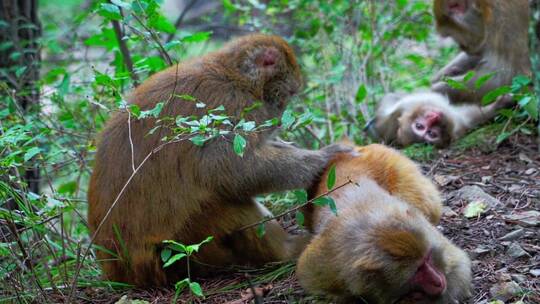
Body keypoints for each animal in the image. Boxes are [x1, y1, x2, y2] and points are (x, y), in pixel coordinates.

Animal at [87, 34, 350, 286]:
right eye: (288, 95)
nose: (278, 121)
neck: (234, 76)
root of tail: (122, 273)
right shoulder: (231, 105)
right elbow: (232, 169)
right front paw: (323, 158)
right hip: (183, 245)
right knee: (228, 202)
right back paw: (287, 251)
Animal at [298, 145, 470, 304]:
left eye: (427, 258)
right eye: (418, 270)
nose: (438, 282)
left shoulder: (423, 228)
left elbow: (460, 267)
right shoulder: (329, 260)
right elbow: (308, 275)